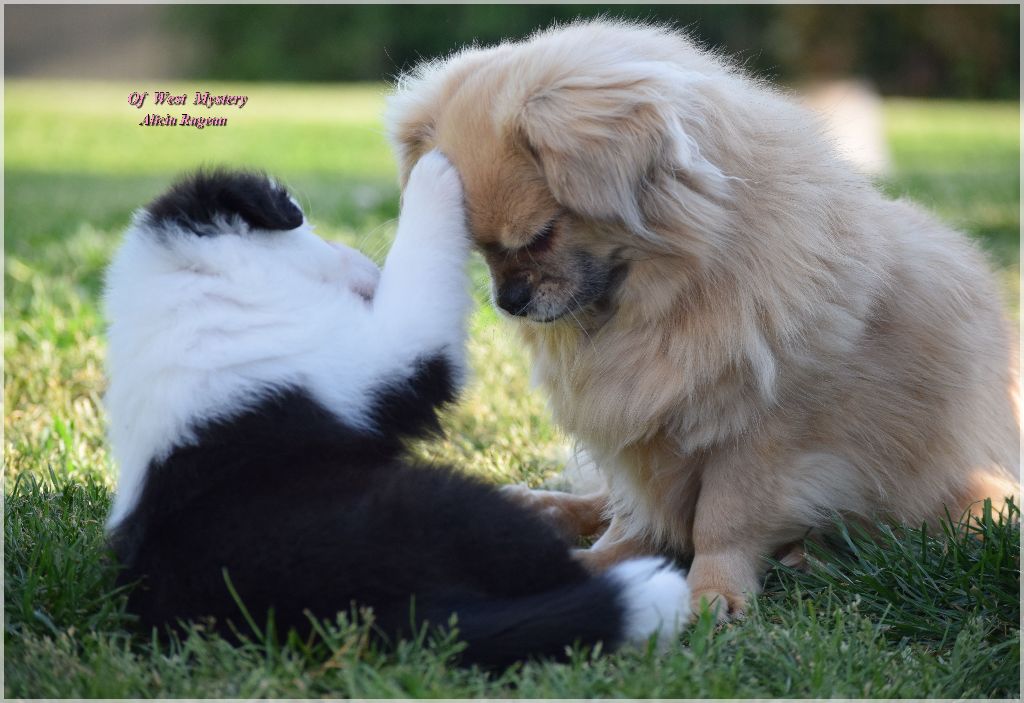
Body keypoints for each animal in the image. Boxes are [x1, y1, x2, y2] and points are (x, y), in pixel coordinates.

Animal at [103, 151, 688, 667]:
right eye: (305, 224)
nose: (367, 267)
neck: (195, 294)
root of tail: (364, 616)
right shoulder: (384, 356)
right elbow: (420, 271)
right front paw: (434, 170)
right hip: (454, 509)